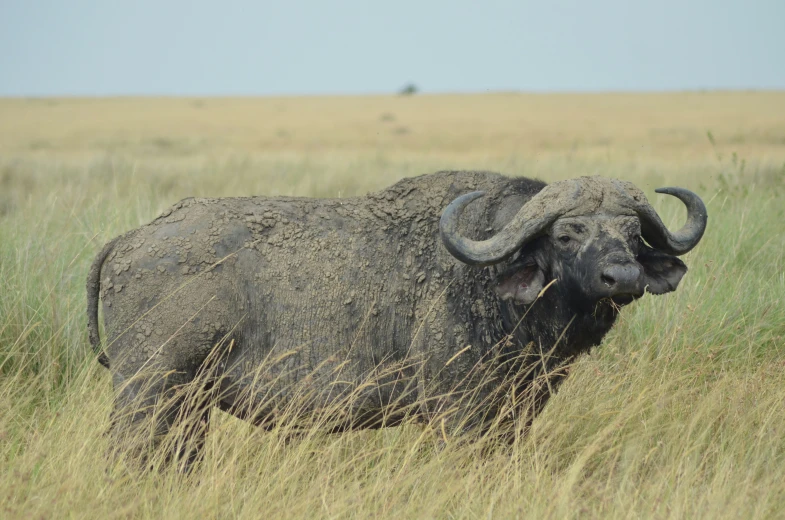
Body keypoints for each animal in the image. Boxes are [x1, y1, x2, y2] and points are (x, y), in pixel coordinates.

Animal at [86, 172, 704, 468]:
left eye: (631, 233)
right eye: (567, 233)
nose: (622, 277)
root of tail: (133, 237)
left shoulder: (517, 412)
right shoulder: (459, 414)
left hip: (188, 405)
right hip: (149, 391)